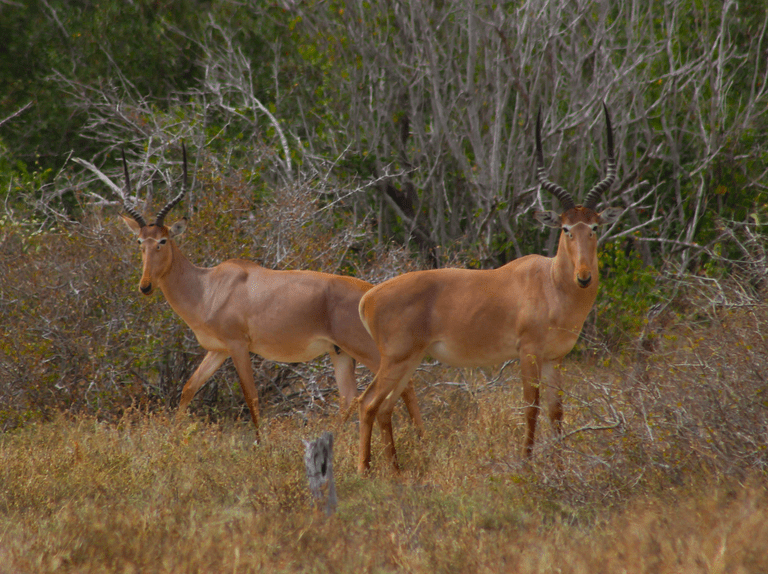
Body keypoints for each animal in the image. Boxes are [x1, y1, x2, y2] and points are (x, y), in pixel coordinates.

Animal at [85, 144, 424, 442]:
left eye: (163, 240)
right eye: (139, 241)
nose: (145, 286)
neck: (208, 285)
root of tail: (370, 293)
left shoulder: (238, 347)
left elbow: (251, 396)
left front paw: (261, 443)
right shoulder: (217, 350)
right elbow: (188, 389)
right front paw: (173, 437)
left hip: (367, 350)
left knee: (404, 385)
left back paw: (419, 440)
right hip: (340, 353)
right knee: (350, 397)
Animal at [354, 104, 623, 473]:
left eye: (594, 226)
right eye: (566, 228)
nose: (583, 276)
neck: (549, 283)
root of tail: (369, 296)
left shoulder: (554, 358)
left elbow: (556, 411)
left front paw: (559, 467)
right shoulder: (528, 353)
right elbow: (531, 408)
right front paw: (526, 465)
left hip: (410, 360)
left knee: (384, 407)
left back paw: (395, 472)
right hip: (396, 360)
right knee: (367, 402)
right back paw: (365, 471)